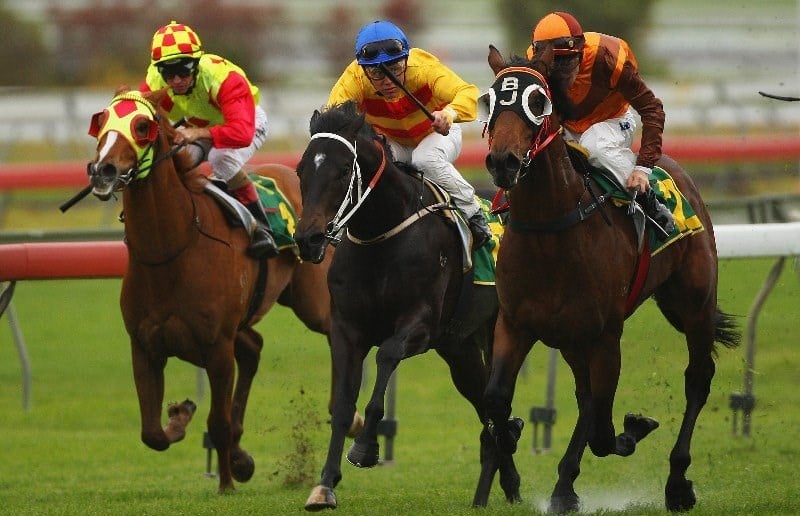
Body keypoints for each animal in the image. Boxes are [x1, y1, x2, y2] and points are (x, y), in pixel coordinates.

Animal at [86, 88, 337, 493]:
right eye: (101, 121)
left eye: (142, 126)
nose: (103, 170)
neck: (169, 252)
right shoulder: (144, 346)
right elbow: (151, 433)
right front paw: (184, 418)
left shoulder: (217, 347)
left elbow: (216, 422)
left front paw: (226, 485)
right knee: (253, 348)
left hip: (309, 300)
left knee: (333, 330)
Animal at [293, 100, 523, 511]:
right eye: (302, 170)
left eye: (341, 171)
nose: (309, 239)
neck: (381, 235)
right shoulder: (346, 329)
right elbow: (342, 404)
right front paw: (325, 485)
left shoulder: (420, 325)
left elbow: (385, 357)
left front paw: (366, 447)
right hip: (459, 348)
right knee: (484, 402)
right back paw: (507, 478)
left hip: (498, 331)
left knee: (496, 400)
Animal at [481, 44, 740, 513]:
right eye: (489, 100)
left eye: (538, 100)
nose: (502, 161)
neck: (551, 230)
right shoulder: (516, 324)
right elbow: (496, 398)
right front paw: (512, 440)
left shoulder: (605, 335)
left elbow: (603, 430)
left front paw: (634, 427)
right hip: (572, 338)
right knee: (588, 399)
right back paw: (565, 486)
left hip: (692, 304)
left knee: (697, 378)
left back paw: (677, 483)